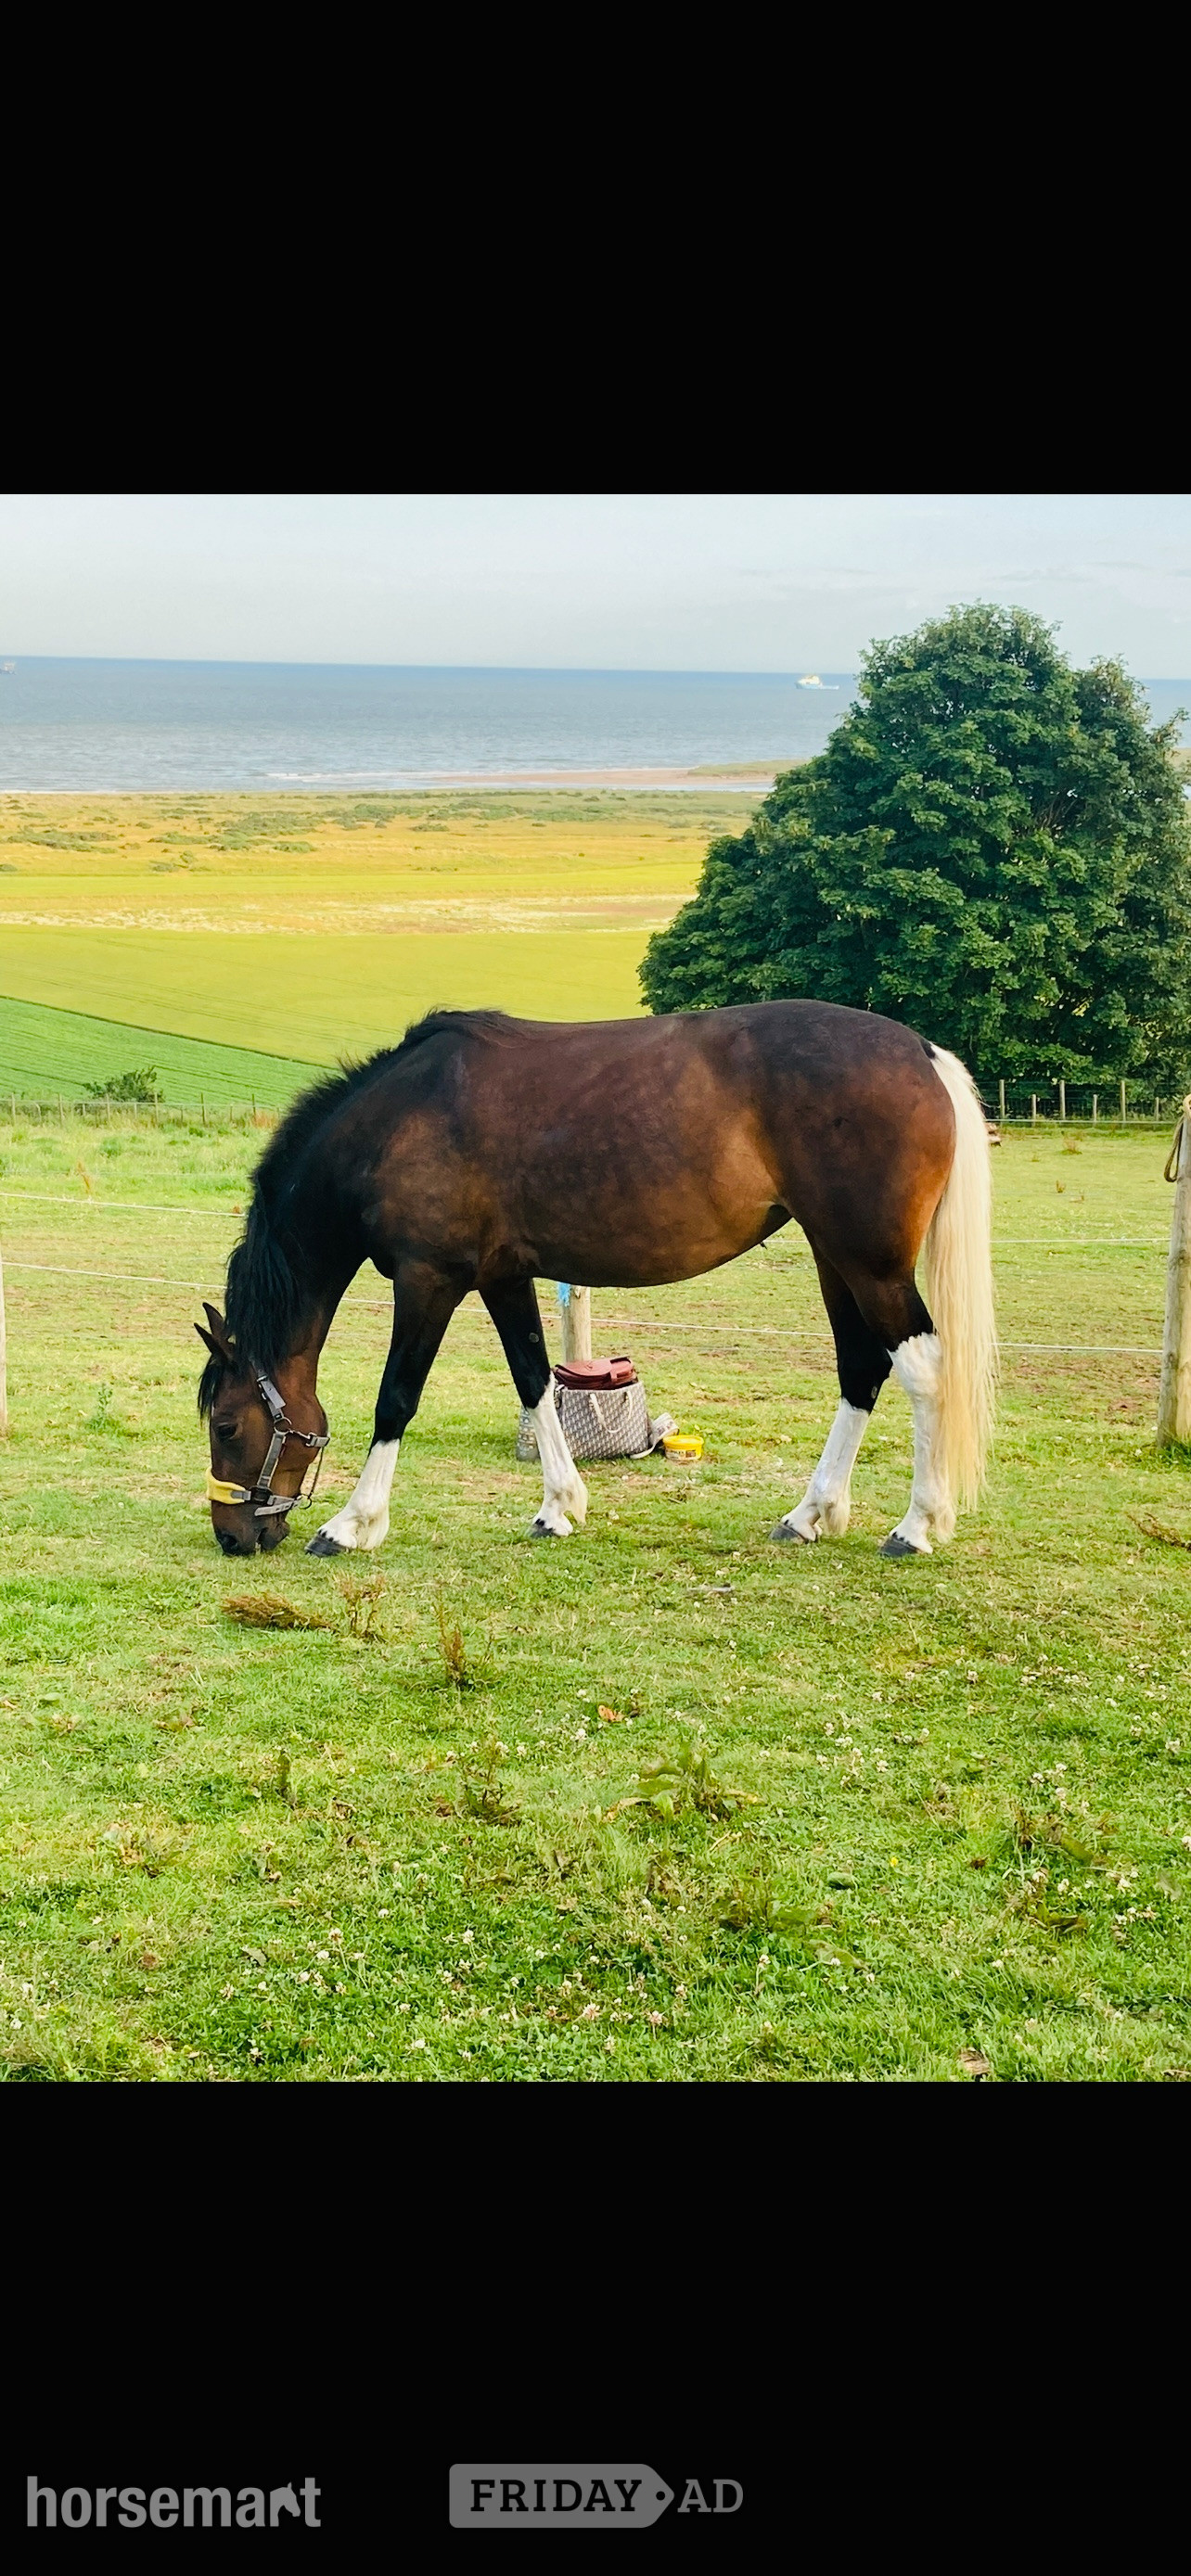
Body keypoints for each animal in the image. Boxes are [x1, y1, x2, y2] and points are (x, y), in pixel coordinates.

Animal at [196, 1001, 995, 1563]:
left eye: (227, 1424)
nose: (232, 1536)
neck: (400, 1119)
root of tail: (922, 1053)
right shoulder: (503, 1278)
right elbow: (533, 1380)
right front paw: (560, 1508)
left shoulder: (429, 1281)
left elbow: (395, 1398)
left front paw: (353, 1524)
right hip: (837, 1260)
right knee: (860, 1369)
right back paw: (811, 1515)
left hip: (871, 1265)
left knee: (923, 1371)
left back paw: (918, 1525)